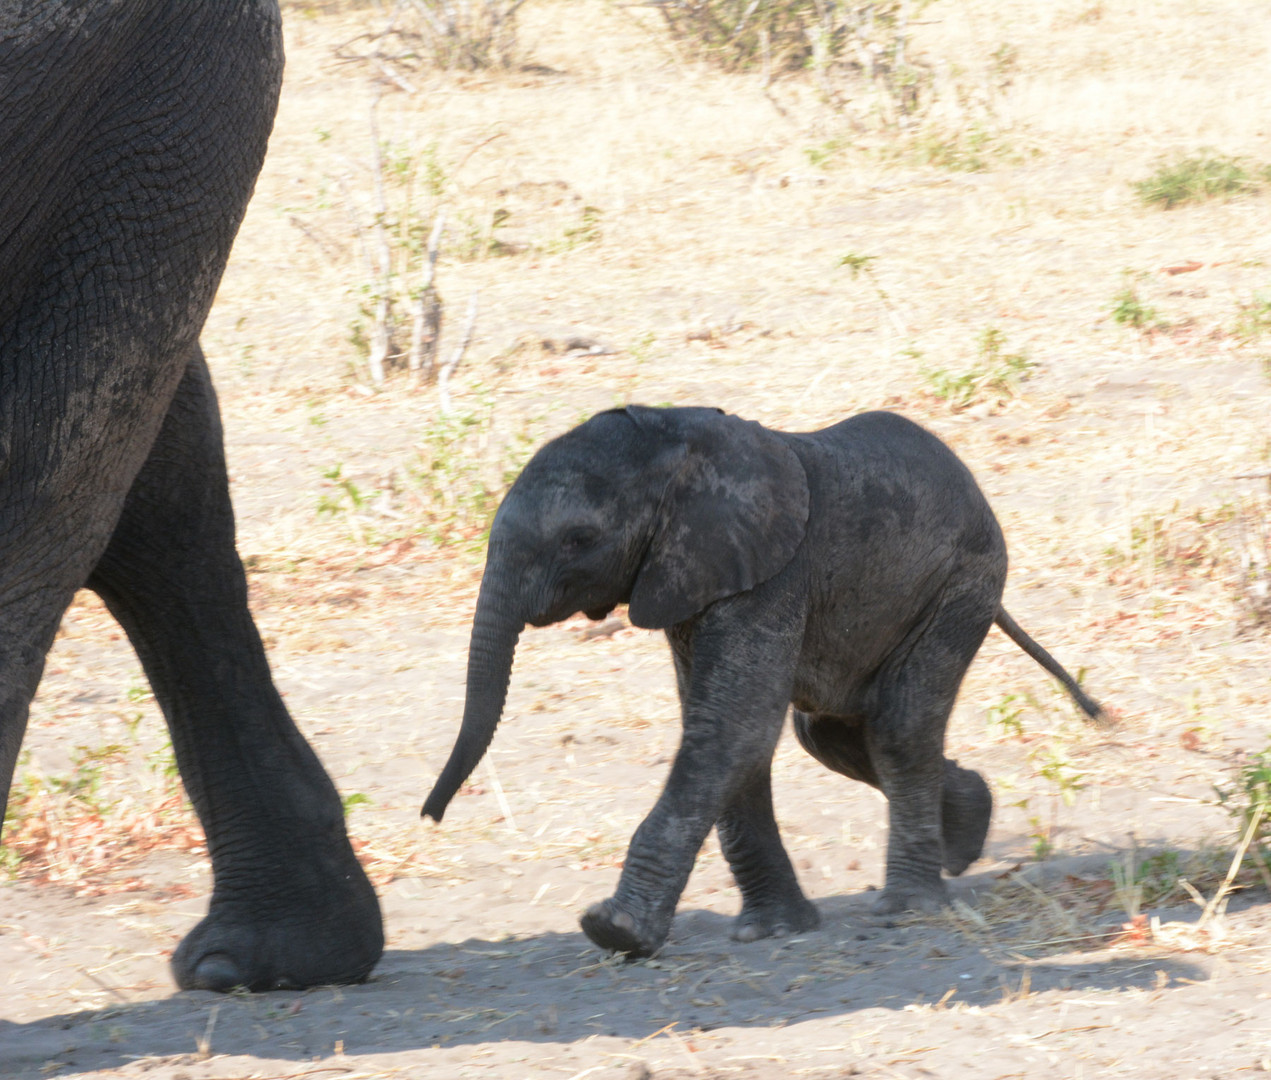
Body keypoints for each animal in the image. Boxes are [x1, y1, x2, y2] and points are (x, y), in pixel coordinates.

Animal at [419, 409, 1103, 955]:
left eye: (579, 539)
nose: (430, 815)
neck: (677, 444)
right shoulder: (694, 581)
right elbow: (725, 731)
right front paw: (772, 931)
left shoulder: (771, 576)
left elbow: (733, 727)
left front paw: (613, 932)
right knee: (830, 733)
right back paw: (966, 837)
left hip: (964, 584)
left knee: (899, 727)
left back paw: (907, 910)